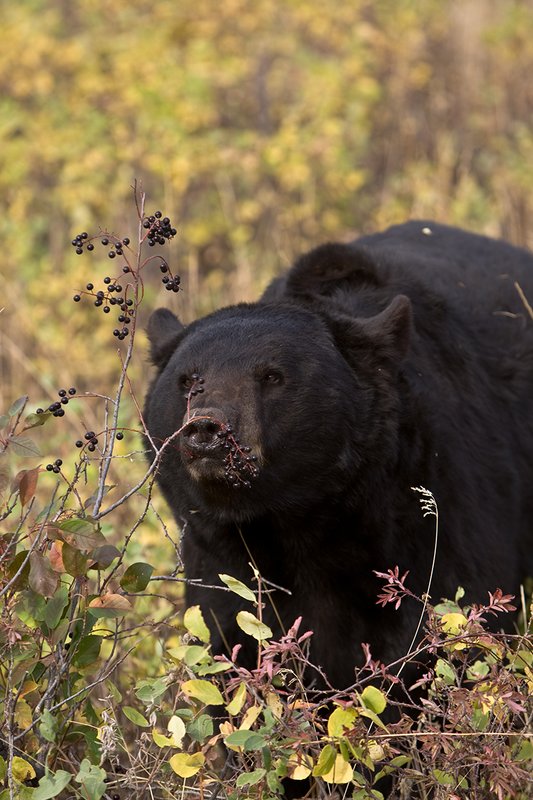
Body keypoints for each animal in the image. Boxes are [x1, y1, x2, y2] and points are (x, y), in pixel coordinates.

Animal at [143, 221, 533, 690]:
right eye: (188, 380)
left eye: (272, 376)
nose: (207, 429)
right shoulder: (218, 559)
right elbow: (223, 639)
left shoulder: (435, 517)